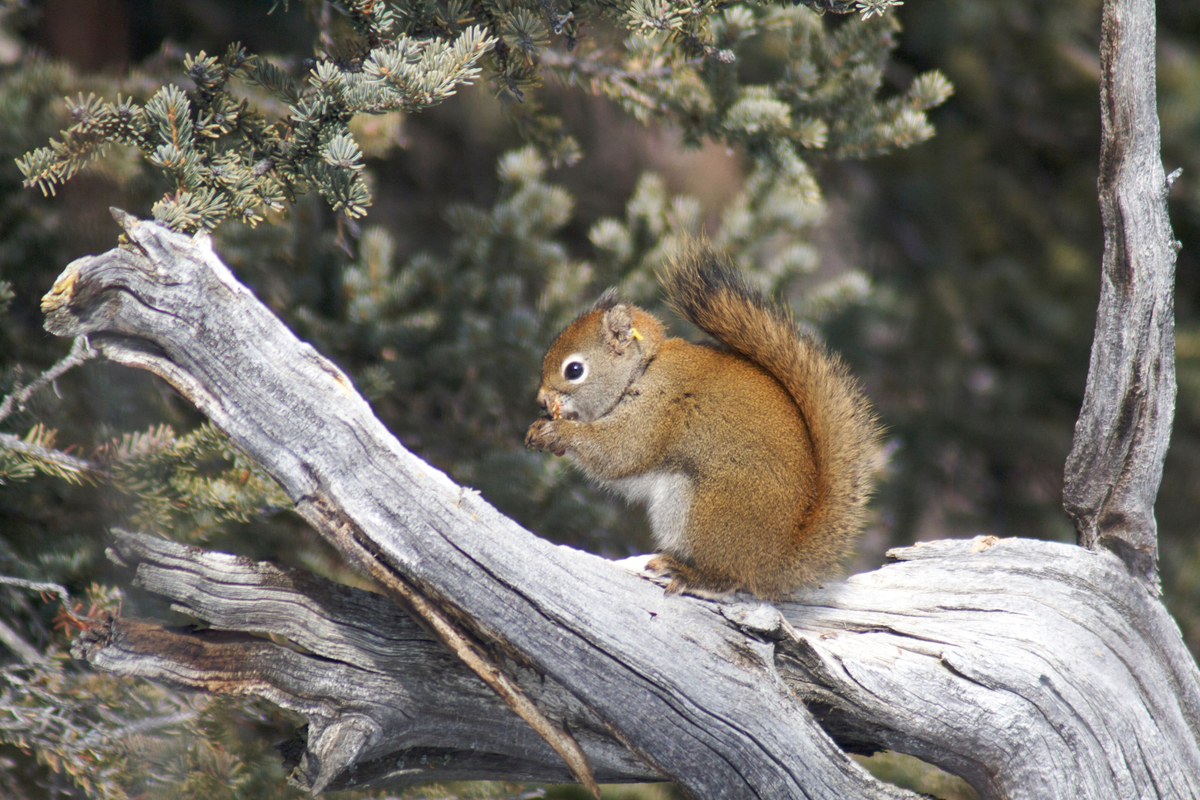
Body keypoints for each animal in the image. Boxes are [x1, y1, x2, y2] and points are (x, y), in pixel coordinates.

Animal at [525, 245, 882, 599]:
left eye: (574, 370)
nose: (541, 400)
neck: (644, 368)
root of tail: (776, 562)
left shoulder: (658, 406)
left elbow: (620, 453)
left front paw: (558, 432)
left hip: (705, 510)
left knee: (729, 576)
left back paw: (688, 573)